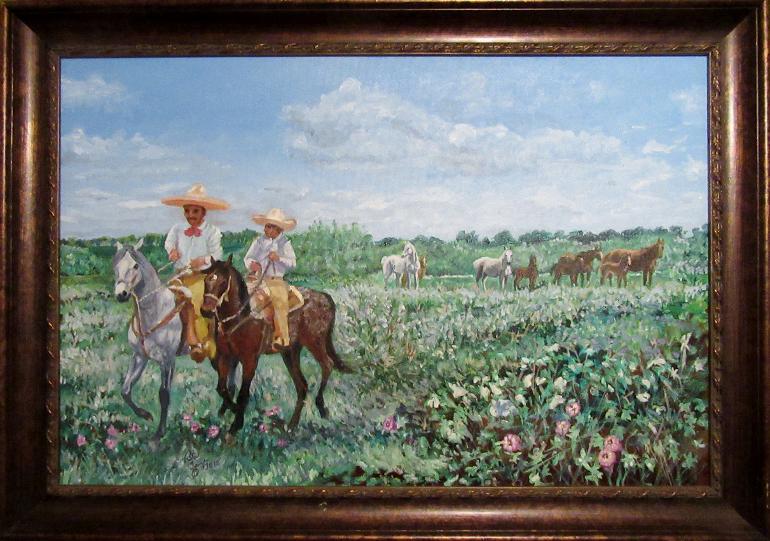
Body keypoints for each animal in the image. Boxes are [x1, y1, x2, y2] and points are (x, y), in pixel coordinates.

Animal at [112, 238, 187, 447]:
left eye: (135, 266)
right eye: (115, 267)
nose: (121, 294)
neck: (156, 310)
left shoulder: (167, 360)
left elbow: (164, 395)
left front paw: (159, 433)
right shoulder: (140, 356)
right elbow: (125, 390)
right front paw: (145, 415)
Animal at [200, 257, 351, 437]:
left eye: (223, 281)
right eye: (206, 279)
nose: (205, 310)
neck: (241, 315)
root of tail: (325, 297)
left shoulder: (250, 360)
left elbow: (243, 394)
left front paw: (236, 423)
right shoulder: (225, 357)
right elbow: (222, 388)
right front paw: (231, 412)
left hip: (315, 342)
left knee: (327, 364)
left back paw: (321, 407)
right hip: (291, 352)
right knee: (302, 386)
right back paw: (291, 426)